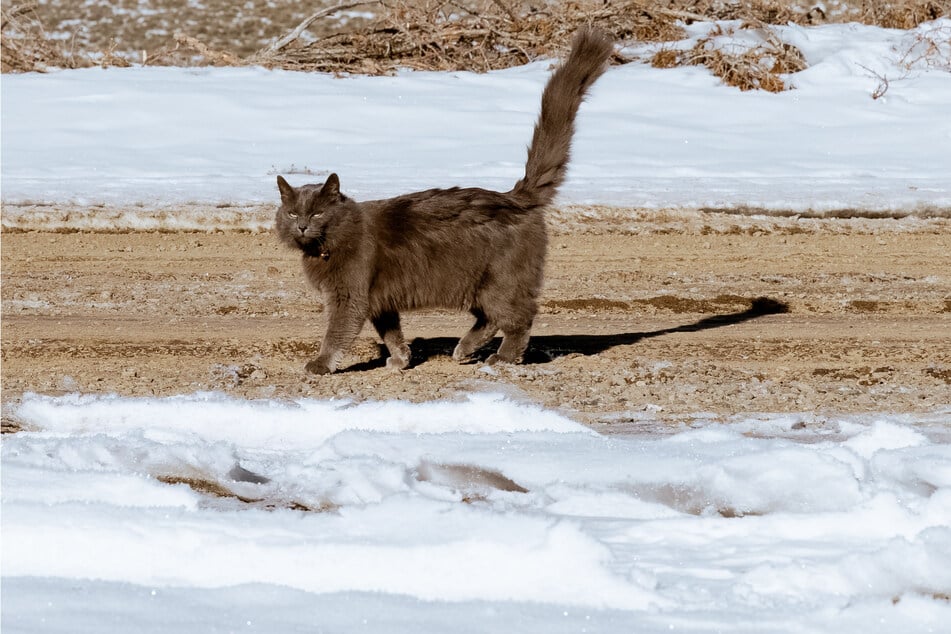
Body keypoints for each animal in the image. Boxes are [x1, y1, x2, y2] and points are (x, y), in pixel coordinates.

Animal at [276, 29, 616, 372]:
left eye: (317, 214)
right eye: (292, 213)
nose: (302, 226)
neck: (330, 244)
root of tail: (514, 197)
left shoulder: (350, 295)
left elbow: (337, 332)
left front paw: (319, 365)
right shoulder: (379, 300)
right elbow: (391, 331)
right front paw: (400, 359)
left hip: (501, 280)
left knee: (519, 318)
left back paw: (502, 357)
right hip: (480, 284)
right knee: (491, 318)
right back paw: (464, 350)